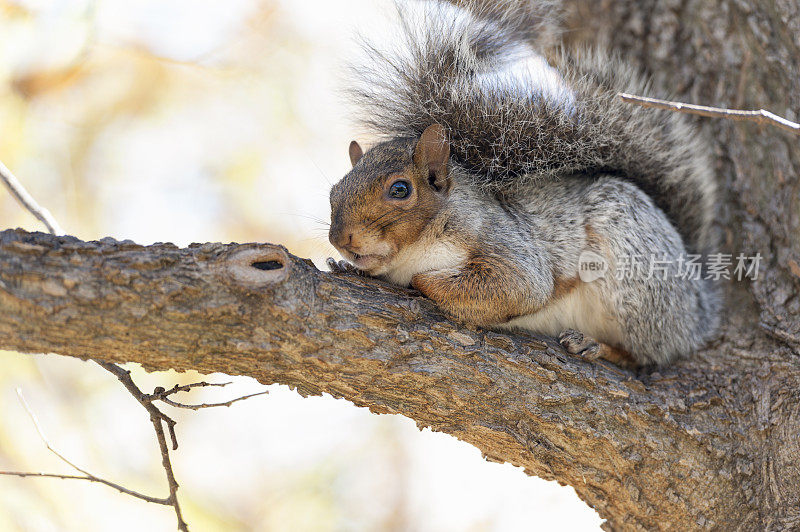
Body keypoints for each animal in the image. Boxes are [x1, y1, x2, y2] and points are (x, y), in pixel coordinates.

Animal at [324, 1, 720, 366]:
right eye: (333, 192)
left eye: (400, 190)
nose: (341, 239)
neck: (414, 249)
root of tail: (698, 307)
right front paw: (346, 267)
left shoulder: (501, 242)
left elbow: (519, 287)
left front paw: (420, 282)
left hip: (636, 275)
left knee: (645, 353)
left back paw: (597, 346)